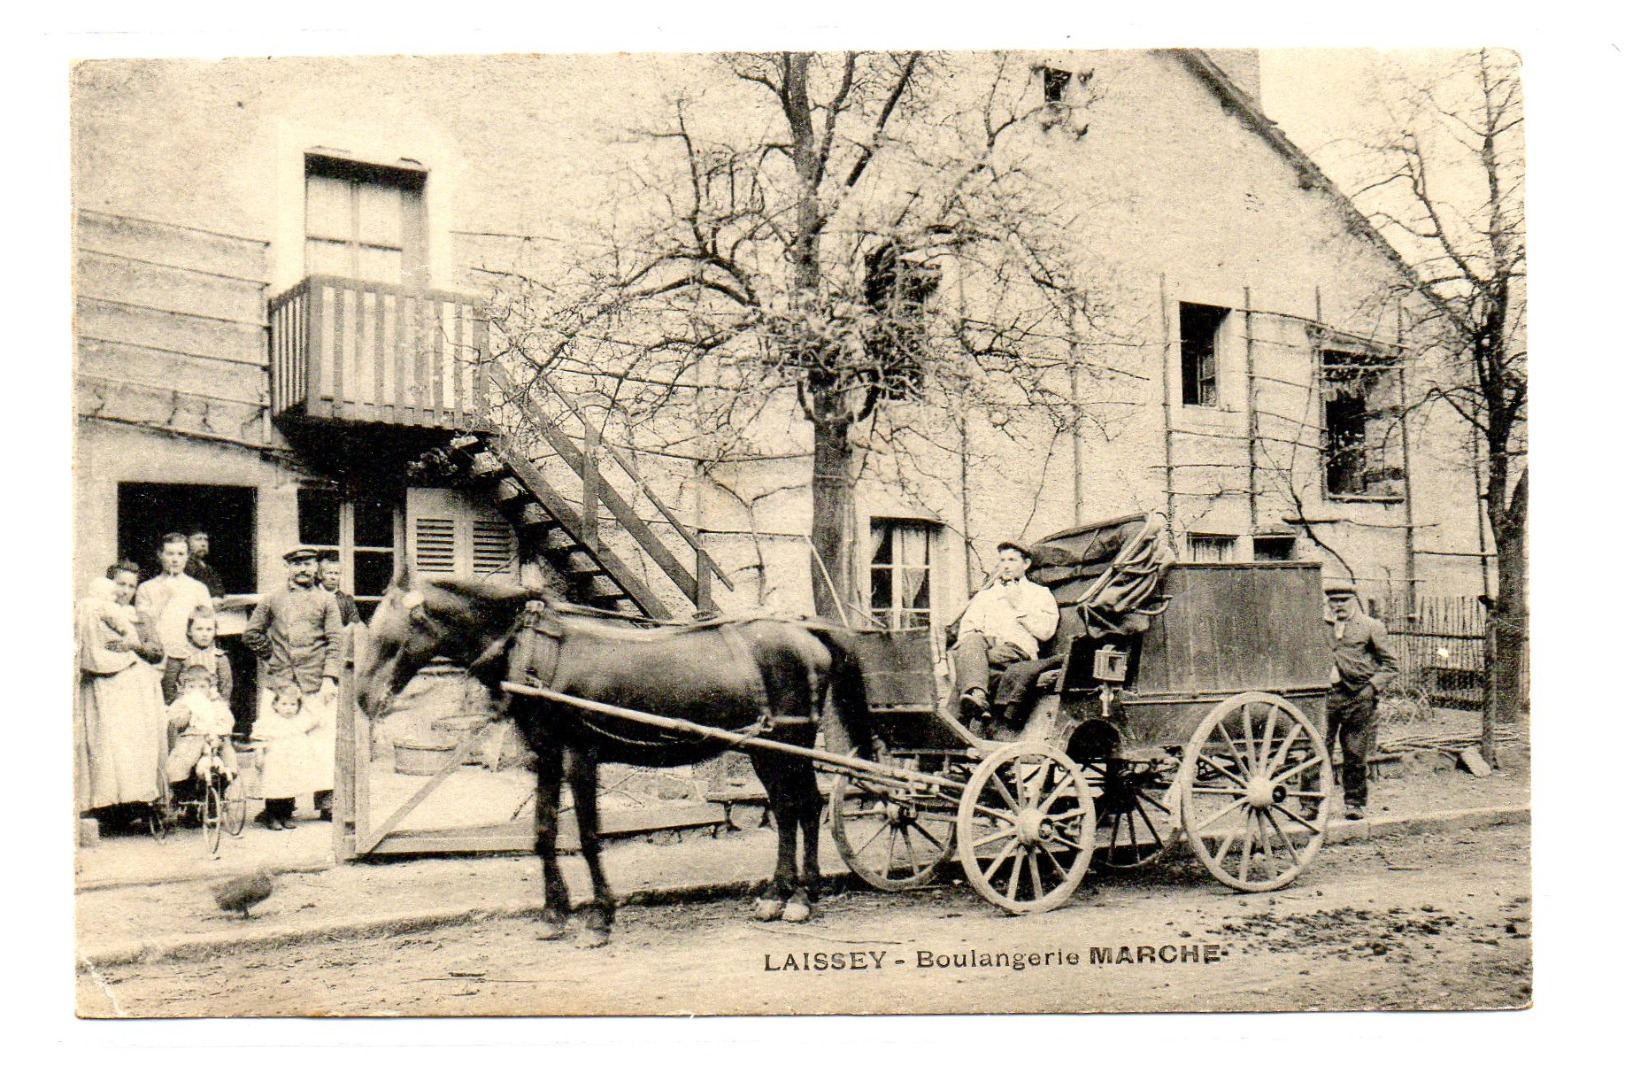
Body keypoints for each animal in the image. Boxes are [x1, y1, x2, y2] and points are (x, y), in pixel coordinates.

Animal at [352, 572, 864, 949]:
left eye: (393, 631)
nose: (363, 698)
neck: (540, 654)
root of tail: (806, 631)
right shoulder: (545, 755)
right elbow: (543, 831)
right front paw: (553, 914)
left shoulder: (582, 754)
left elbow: (587, 834)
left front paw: (599, 917)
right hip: (765, 747)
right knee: (786, 808)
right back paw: (778, 895)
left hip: (792, 739)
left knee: (805, 806)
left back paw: (802, 898)